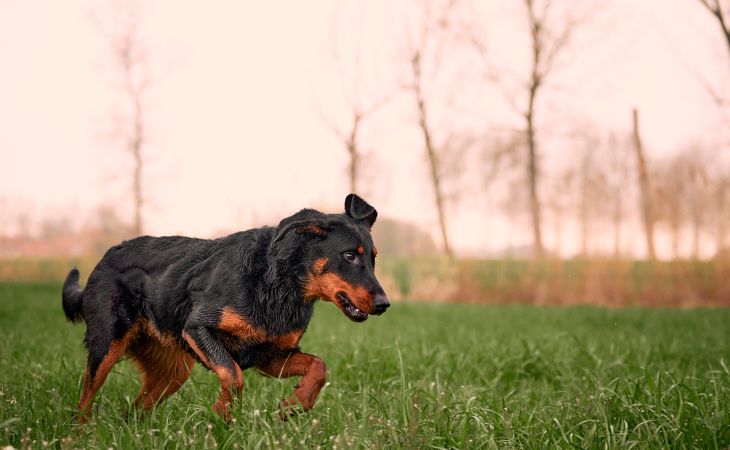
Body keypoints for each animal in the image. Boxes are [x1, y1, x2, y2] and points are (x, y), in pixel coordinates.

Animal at [62, 193, 390, 422]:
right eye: (349, 255)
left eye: (374, 257)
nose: (384, 304)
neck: (278, 283)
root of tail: (104, 258)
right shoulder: (198, 328)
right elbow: (232, 374)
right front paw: (224, 412)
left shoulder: (271, 355)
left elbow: (318, 366)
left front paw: (294, 405)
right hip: (106, 346)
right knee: (82, 405)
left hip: (172, 371)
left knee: (133, 411)